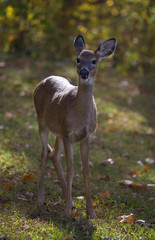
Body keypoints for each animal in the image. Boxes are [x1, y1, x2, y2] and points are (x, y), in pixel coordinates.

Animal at [33, 34, 116, 218]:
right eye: (78, 59)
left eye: (94, 61)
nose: (84, 72)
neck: (80, 116)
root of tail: (42, 81)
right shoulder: (68, 134)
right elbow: (71, 169)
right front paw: (66, 212)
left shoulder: (86, 136)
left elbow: (85, 170)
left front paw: (91, 212)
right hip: (42, 122)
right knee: (44, 154)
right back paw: (41, 198)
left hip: (57, 131)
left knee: (54, 155)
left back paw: (69, 201)